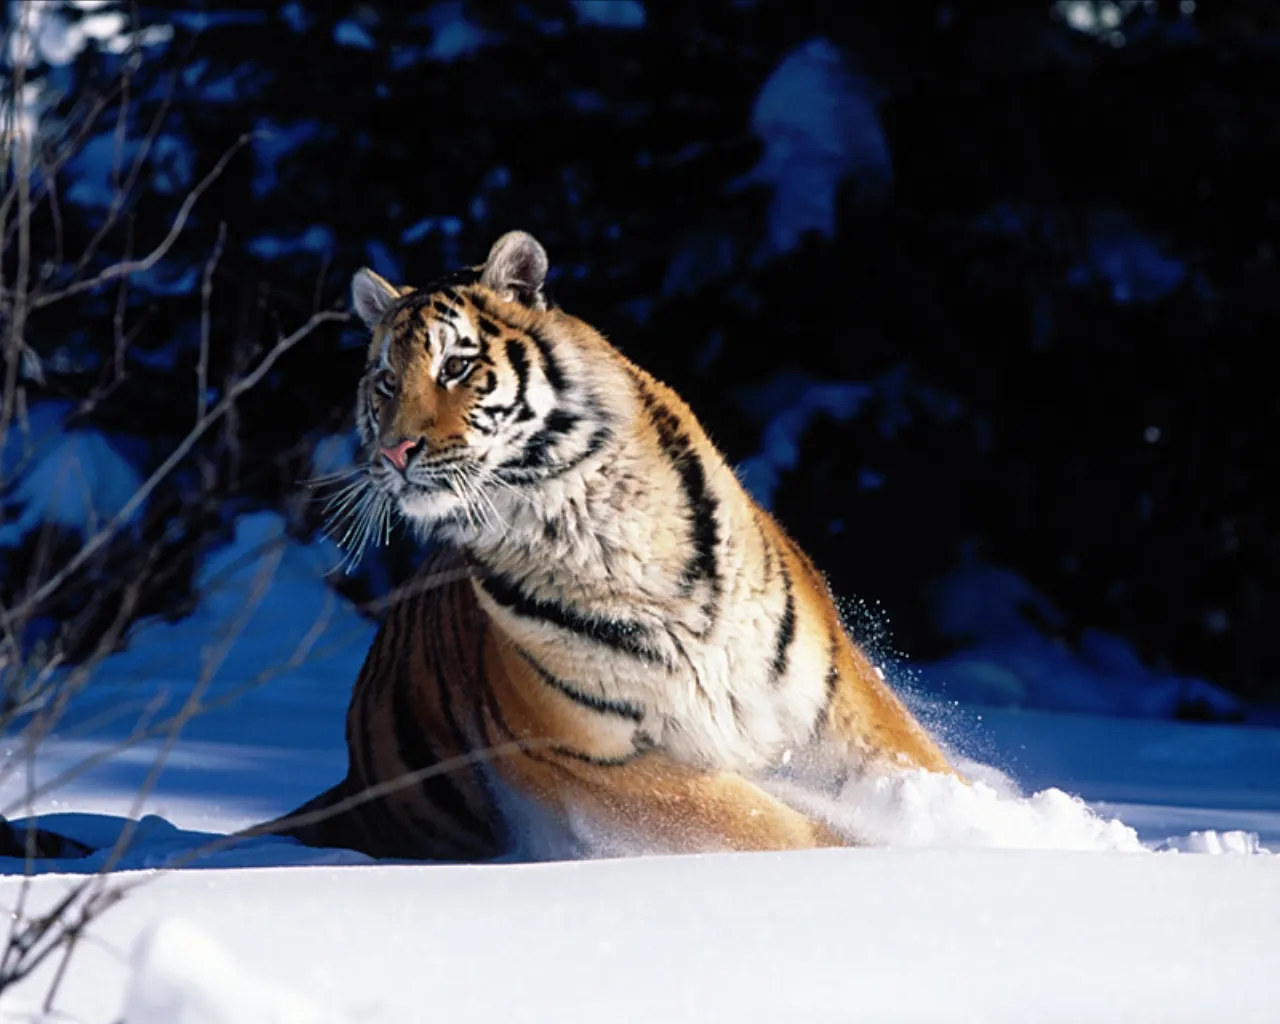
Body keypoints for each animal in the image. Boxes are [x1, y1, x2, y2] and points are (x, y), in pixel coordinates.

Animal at [264, 230, 957, 861]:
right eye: (384, 382)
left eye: (455, 366)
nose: (392, 452)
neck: (588, 518)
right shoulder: (589, 757)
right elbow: (769, 825)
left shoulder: (828, 695)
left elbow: (912, 763)